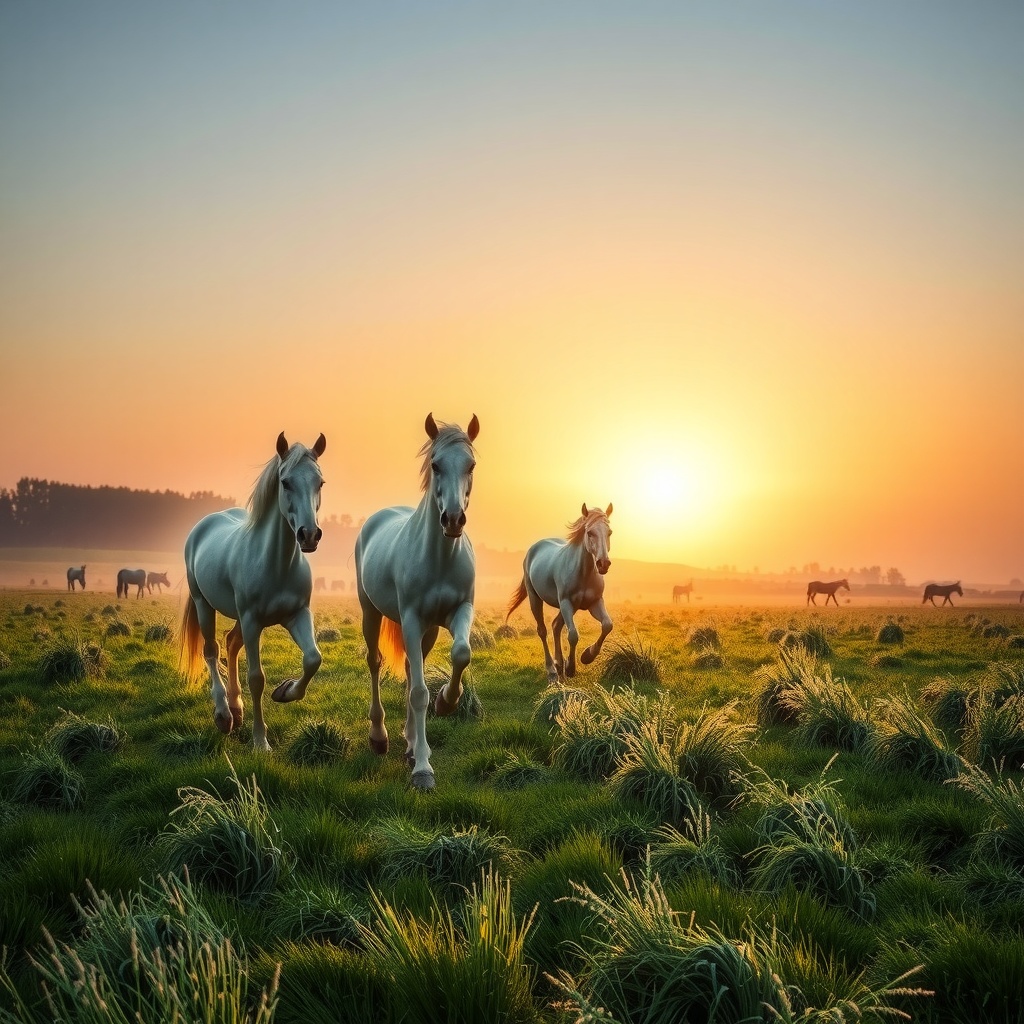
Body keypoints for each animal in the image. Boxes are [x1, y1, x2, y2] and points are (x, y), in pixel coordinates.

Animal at [179, 431, 327, 752]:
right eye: (285, 482)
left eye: (320, 482)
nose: (309, 535)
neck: (276, 564)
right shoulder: (252, 621)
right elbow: (256, 678)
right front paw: (260, 742)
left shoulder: (298, 615)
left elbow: (313, 659)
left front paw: (285, 691)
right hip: (204, 605)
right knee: (212, 650)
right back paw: (223, 714)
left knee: (231, 643)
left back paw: (236, 708)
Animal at [355, 413, 479, 792]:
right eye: (436, 465)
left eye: (471, 465)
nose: (453, 519)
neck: (439, 559)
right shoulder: (410, 619)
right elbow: (419, 693)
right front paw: (423, 770)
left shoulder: (458, 613)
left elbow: (460, 655)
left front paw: (447, 702)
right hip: (372, 614)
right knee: (376, 663)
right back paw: (379, 737)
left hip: (427, 631)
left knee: (412, 670)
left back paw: (410, 744)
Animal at [507, 503, 614, 684]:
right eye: (590, 533)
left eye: (609, 532)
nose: (603, 564)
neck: (583, 573)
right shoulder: (566, 603)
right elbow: (573, 635)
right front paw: (571, 668)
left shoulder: (595, 603)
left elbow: (607, 625)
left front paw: (587, 656)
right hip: (536, 599)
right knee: (543, 630)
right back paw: (552, 669)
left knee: (556, 626)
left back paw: (559, 664)